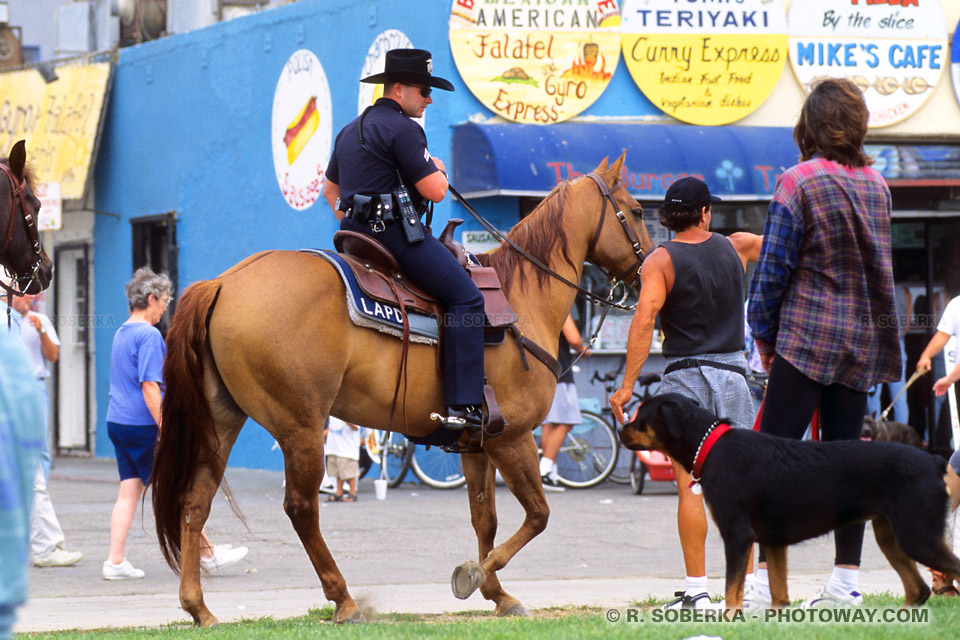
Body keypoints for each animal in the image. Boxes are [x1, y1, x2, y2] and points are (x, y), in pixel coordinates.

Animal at [154, 154, 652, 624]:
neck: (521, 299)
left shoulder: (477, 444)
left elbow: (485, 519)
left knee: (195, 502)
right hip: (301, 427)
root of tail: (223, 283)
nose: (649, 273)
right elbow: (537, 514)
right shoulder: (512, 438)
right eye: (637, 210)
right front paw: (475, 575)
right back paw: (344, 600)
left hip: (222, 421)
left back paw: (198, 607)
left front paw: (497, 594)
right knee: (301, 508)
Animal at [624, 396, 960, 608]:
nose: (622, 426)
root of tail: (935, 461)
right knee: (918, 589)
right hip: (890, 534)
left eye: (641, 415)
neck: (710, 446)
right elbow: (778, 596)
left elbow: (732, 592)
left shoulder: (737, 535)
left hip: (918, 536)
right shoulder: (773, 542)